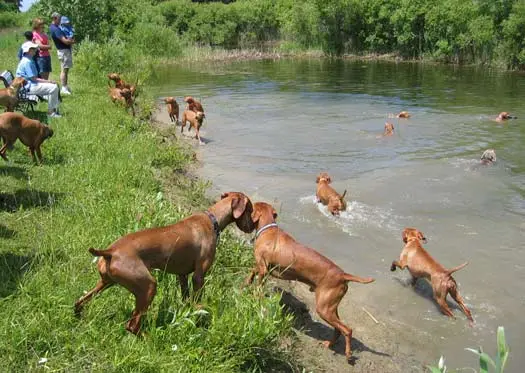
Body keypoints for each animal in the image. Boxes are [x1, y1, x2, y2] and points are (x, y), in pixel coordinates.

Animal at [73, 192, 254, 334]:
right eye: (250, 210)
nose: (253, 228)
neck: (211, 219)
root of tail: (110, 251)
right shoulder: (198, 276)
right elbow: (197, 300)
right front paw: (199, 315)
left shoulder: (182, 275)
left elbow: (185, 298)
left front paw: (186, 311)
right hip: (148, 286)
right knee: (132, 325)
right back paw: (148, 338)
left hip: (106, 283)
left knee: (80, 301)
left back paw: (78, 318)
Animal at [246, 202, 372, 358]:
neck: (269, 229)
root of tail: (343, 274)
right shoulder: (263, 267)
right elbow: (252, 270)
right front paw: (246, 283)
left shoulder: (264, 269)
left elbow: (258, 285)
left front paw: (254, 296)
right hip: (330, 307)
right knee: (338, 329)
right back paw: (329, 344)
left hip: (323, 308)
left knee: (347, 330)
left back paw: (348, 354)